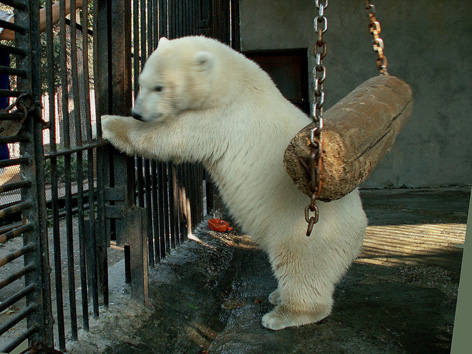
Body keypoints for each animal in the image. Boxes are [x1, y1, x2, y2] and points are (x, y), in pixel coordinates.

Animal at [101, 35, 368, 330]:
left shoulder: (222, 118)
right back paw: (277, 295)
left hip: (305, 230)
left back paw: (282, 314)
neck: (233, 81)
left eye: (159, 87)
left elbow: (171, 137)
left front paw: (109, 123)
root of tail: (358, 234)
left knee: (300, 266)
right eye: (141, 82)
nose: (137, 112)